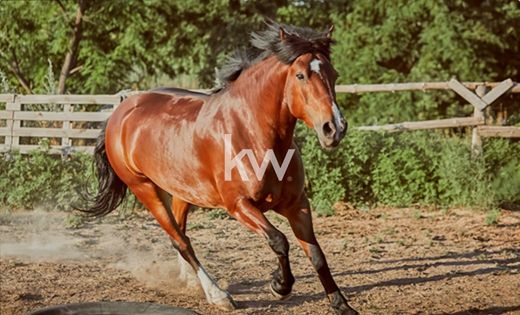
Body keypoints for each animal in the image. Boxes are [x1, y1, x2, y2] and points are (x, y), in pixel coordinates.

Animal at [85, 22, 360, 315]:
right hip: (144, 189)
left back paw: (191, 282)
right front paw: (279, 285)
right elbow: (279, 240)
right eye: (300, 75)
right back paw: (218, 295)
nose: (335, 128)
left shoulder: (297, 204)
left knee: (181, 235)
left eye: (333, 74)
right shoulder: (239, 205)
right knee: (180, 241)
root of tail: (120, 112)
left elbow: (317, 254)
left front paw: (341, 305)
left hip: (183, 191)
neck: (250, 132)